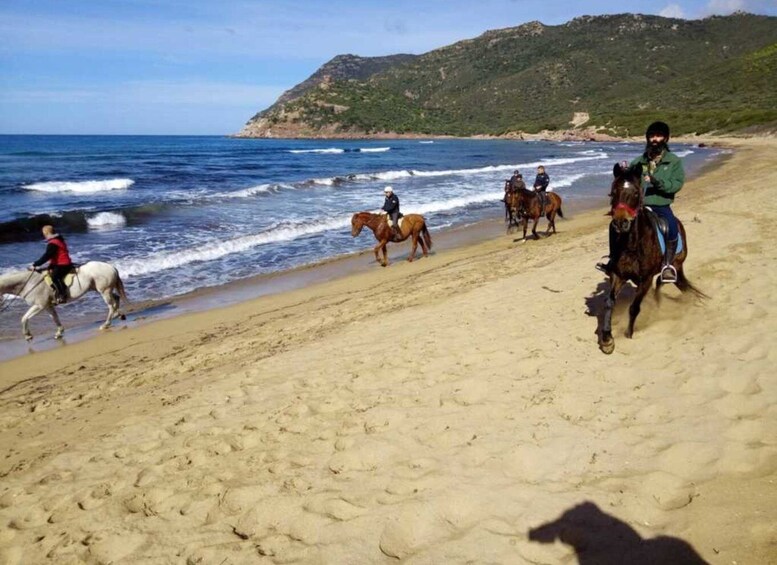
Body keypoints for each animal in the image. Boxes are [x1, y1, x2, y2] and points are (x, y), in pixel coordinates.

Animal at [596, 162, 708, 352]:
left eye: (635, 192)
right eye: (613, 191)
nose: (620, 223)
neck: (631, 244)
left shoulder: (645, 279)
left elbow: (634, 307)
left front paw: (628, 333)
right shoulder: (618, 275)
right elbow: (610, 302)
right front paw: (607, 339)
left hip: (676, 264)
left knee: (665, 281)